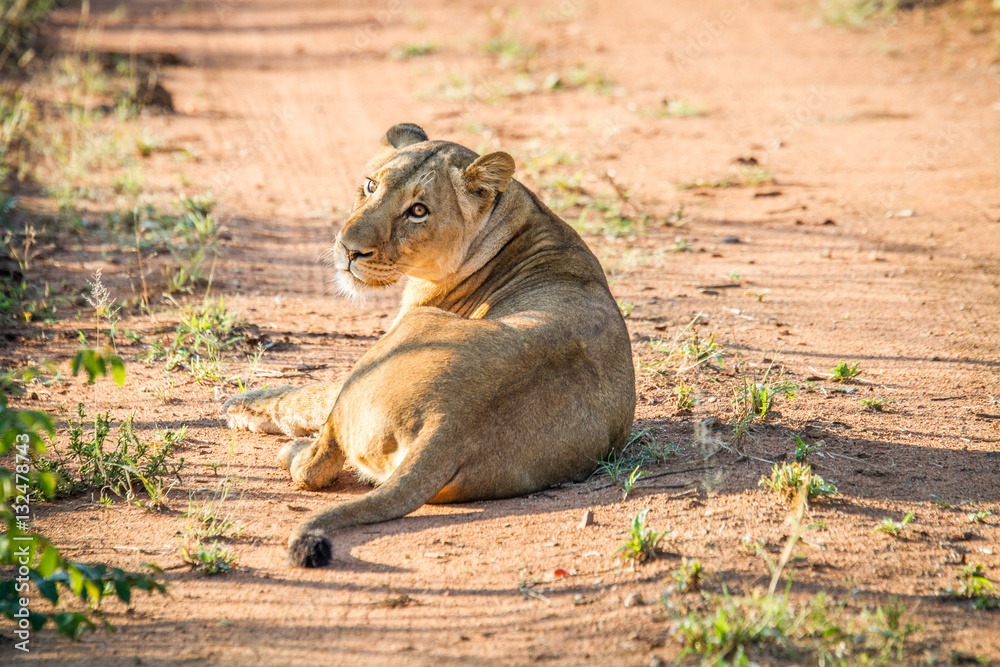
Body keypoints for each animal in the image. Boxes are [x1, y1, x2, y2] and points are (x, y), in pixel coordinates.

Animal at [223, 123, 636, 568]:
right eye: (370, 186)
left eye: (418, 211)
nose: (348, 249)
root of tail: (448, 423)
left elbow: (307, 394)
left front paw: (242, 405)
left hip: (408, 335)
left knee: (316, 463)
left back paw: (292, 451)